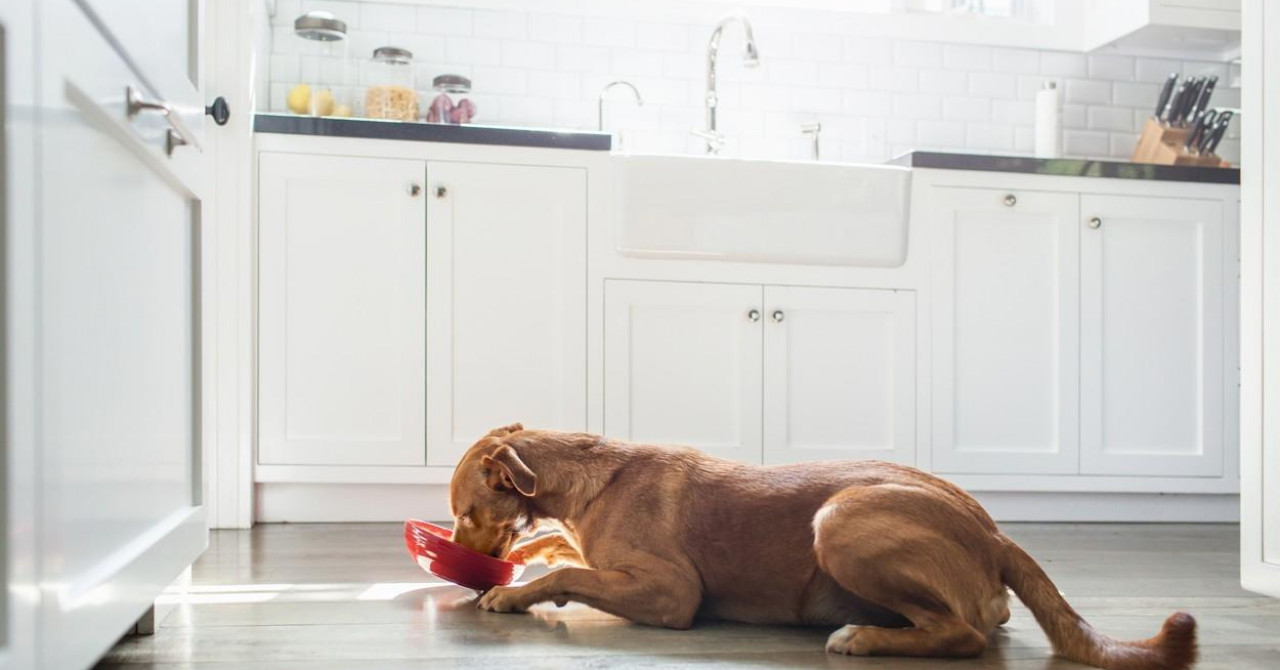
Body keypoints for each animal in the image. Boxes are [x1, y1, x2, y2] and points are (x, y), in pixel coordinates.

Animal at [450, 425, 1198, 670]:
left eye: (460, 514)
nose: (459, 559)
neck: (587, 475)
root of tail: (992, 530)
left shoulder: (672, 593)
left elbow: (566, 577)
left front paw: (511, 593)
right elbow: (562, 551)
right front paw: (537, 556)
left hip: (837, 522)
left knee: (960, 636)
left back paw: (863, 638)